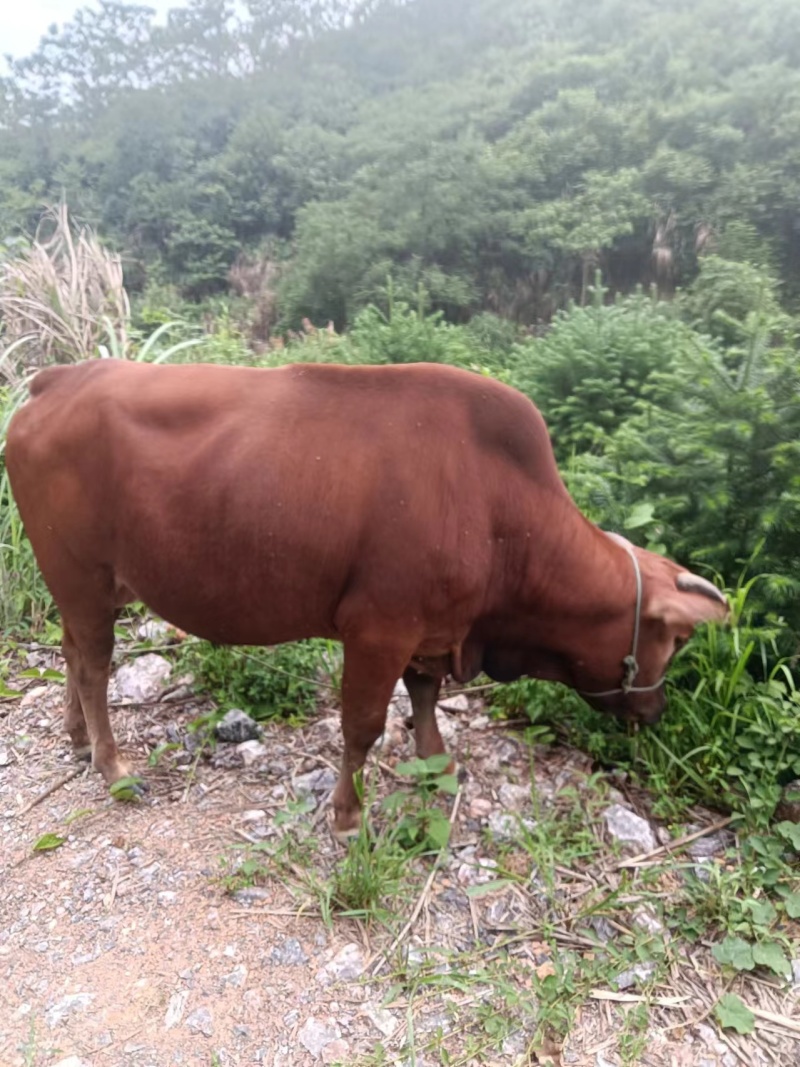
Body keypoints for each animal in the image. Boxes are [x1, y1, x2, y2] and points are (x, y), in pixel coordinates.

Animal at [6, 362, 729, 836]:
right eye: (677, 638)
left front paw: (437, 765)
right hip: (82, 576)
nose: (657, 710)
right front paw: (349, 816)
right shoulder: (379, 627)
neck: (500, 509)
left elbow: (425, 696)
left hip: (83, 585)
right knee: (95, 668)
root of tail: (61, 377)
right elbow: (363, 726)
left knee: (72, 653)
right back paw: (113, 765)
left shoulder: (432, 626)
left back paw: (78, 739)